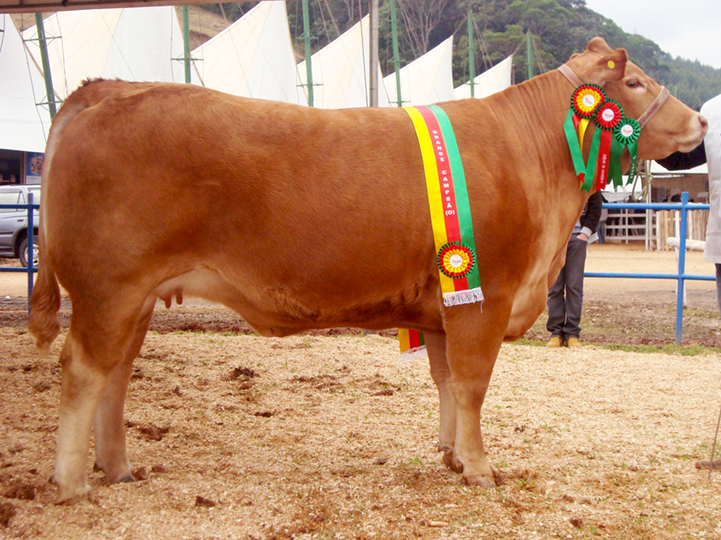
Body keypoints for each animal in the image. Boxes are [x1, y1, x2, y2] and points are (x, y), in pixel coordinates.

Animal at [28, 37, 704, 502]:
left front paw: (451, 455)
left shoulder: (445, 305)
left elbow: (446, 383)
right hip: (108, 288)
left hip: (136, 296)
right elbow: (474, 384)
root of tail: (106, 88)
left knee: (116, 375)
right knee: (82, 371)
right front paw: (481, 469)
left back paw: (118, 469)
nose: (699, 120)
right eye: (635, 82)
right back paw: (72, 484)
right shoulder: (487, 298)